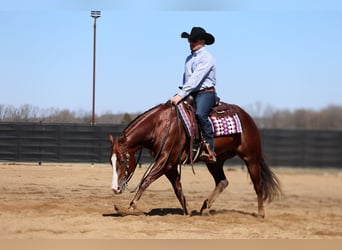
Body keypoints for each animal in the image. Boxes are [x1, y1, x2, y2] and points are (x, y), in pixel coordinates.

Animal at [109, 100, 280, 218]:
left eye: (122, 161)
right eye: (111, 161)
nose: (115, 188)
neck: (160, 125)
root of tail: (248, 118)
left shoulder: (166, 161)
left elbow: (146, 180)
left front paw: (129, 208)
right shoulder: (170, 165)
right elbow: (177, 188)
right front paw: (188, 211)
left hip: (251, 158)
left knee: (258, 185)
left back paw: (260, 214)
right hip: (215, 161)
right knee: (222, 181)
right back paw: (205, 206)